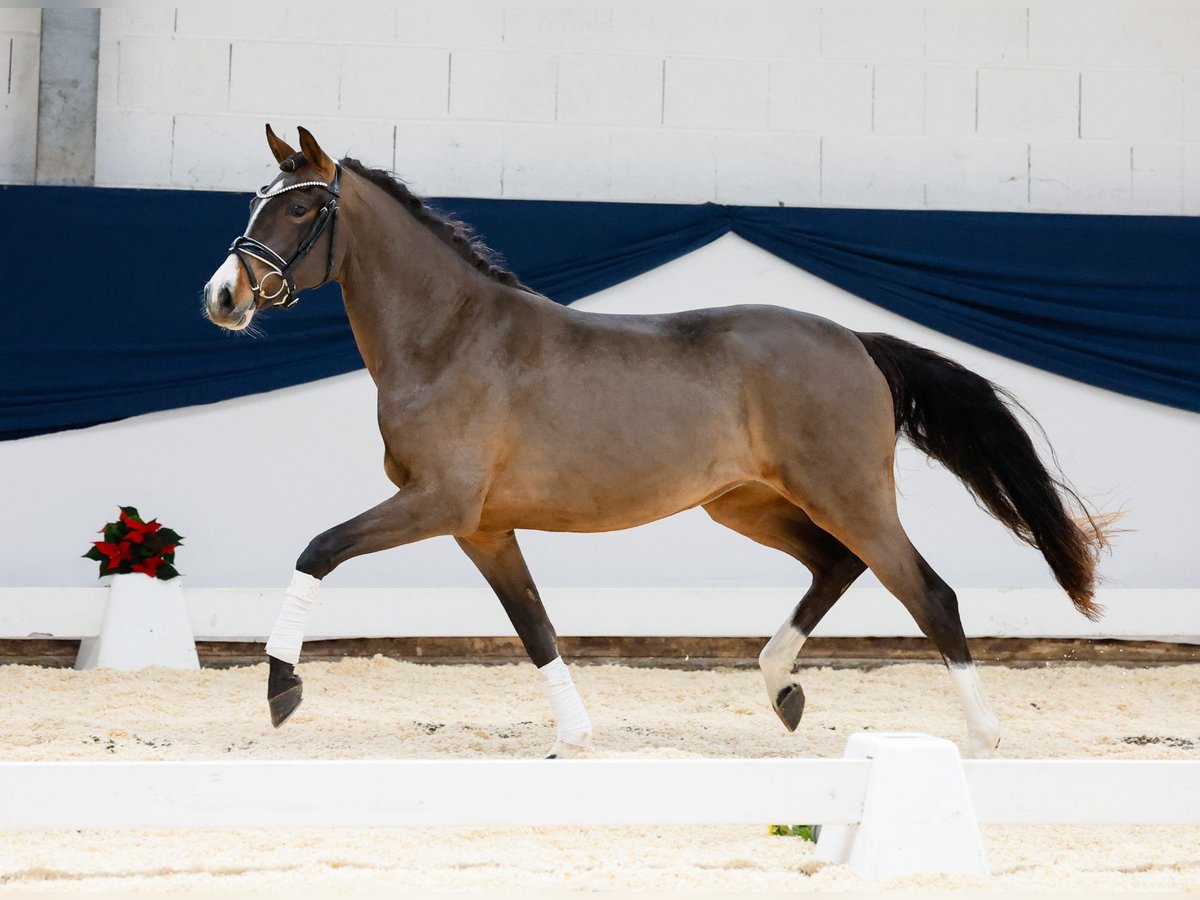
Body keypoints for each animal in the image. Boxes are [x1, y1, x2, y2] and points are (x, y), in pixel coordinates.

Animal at [201, 127, 1108, 763]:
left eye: (297, 207)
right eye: (253, 199)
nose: (222, 298)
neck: (450, 339)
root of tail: (854, 340)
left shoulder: (437, 503)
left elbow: (318, 549)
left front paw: (282, 686)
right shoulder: (482, 526)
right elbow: (535, 626)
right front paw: (572, 739)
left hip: (846, 496)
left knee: (930, 593)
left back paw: (982, 739)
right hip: (744, 505)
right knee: (836, 566)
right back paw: (782, 689)